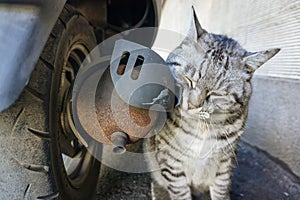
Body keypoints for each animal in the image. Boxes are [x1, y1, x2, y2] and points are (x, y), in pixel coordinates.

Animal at [144, 7, 280, 199]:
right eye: (189, 80)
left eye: (216, 93)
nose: (192, 105)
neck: (200, 128)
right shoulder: (171, 162)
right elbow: (180, 192)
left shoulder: (224, 164)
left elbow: (221, 190)